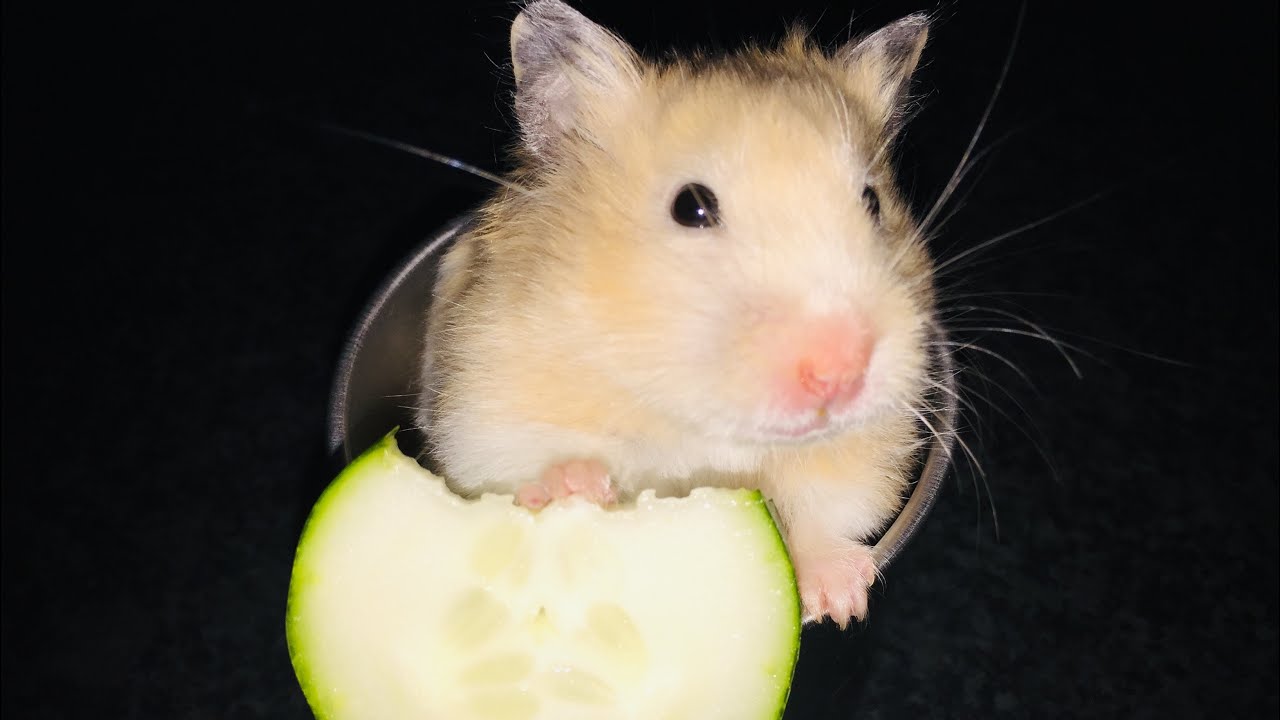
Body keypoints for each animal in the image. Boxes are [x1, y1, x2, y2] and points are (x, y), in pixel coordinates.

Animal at [416, 0, 939, 627]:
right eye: (690, 207)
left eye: (872, 201)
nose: (839, 374)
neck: (696, 420)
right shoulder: (483, 413)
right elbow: (514, 466)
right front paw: (577, 484)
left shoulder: (862, 453)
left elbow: (825, 508)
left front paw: (841, 601)